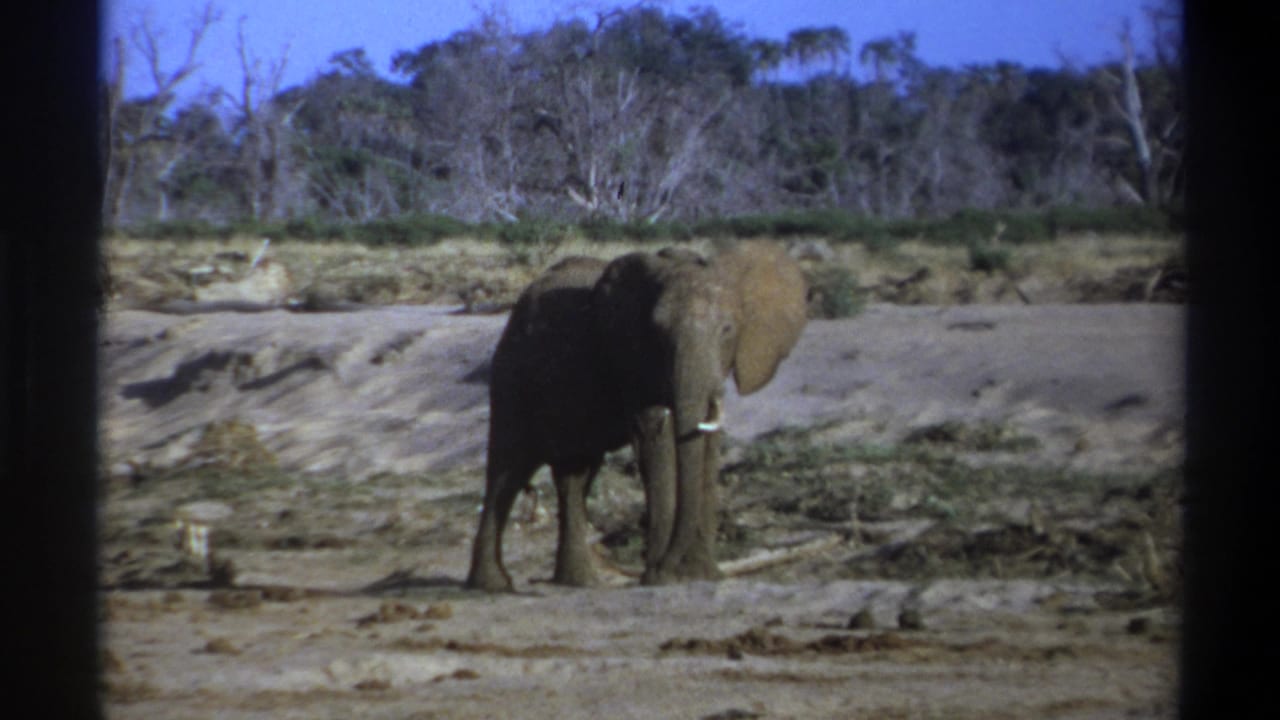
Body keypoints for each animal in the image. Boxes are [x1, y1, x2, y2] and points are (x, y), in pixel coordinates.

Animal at [465, 242, 808, 592]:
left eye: (727, 330)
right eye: (658, 333)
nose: (672, 564)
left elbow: (708, 442)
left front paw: (705, 575)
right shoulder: (632, 361)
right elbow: (655, 438)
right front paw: (663, 578)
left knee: (574, 473)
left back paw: (580, 582)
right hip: (511, 375)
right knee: (507, 469)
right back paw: (492, 585)